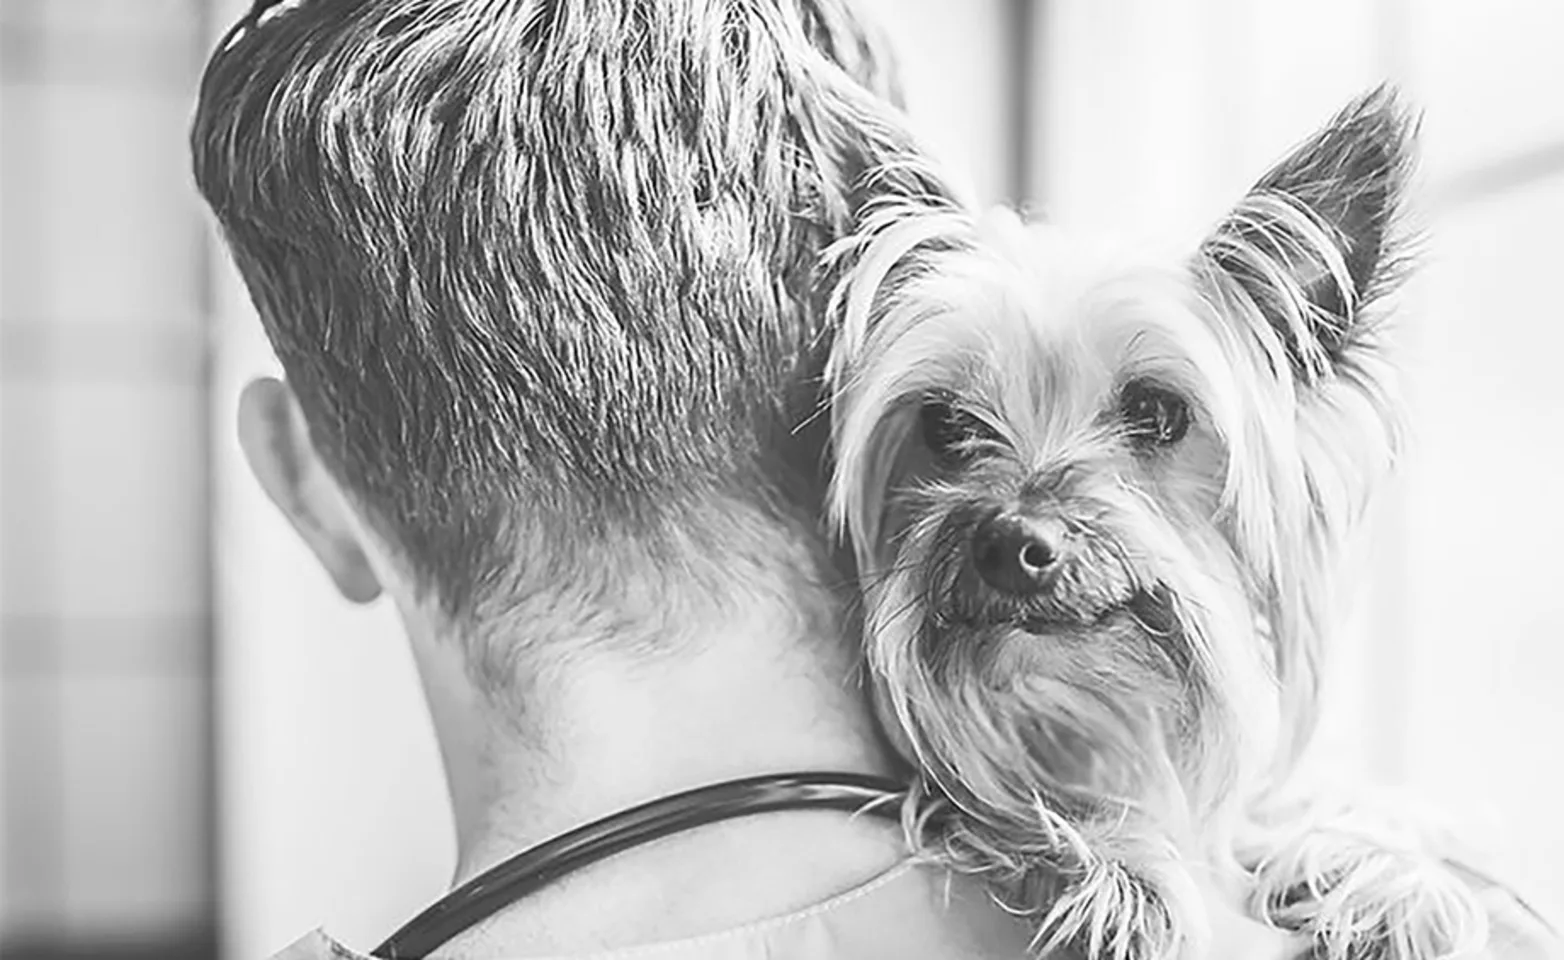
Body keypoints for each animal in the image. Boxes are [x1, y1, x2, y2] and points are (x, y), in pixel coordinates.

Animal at [825, 86, 1557, 956]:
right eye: (944, 423)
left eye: (1157, 412)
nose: (1010, 542)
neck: (1092, 708)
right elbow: (1015, 810)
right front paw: (1125, 866)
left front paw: (1388, 880)